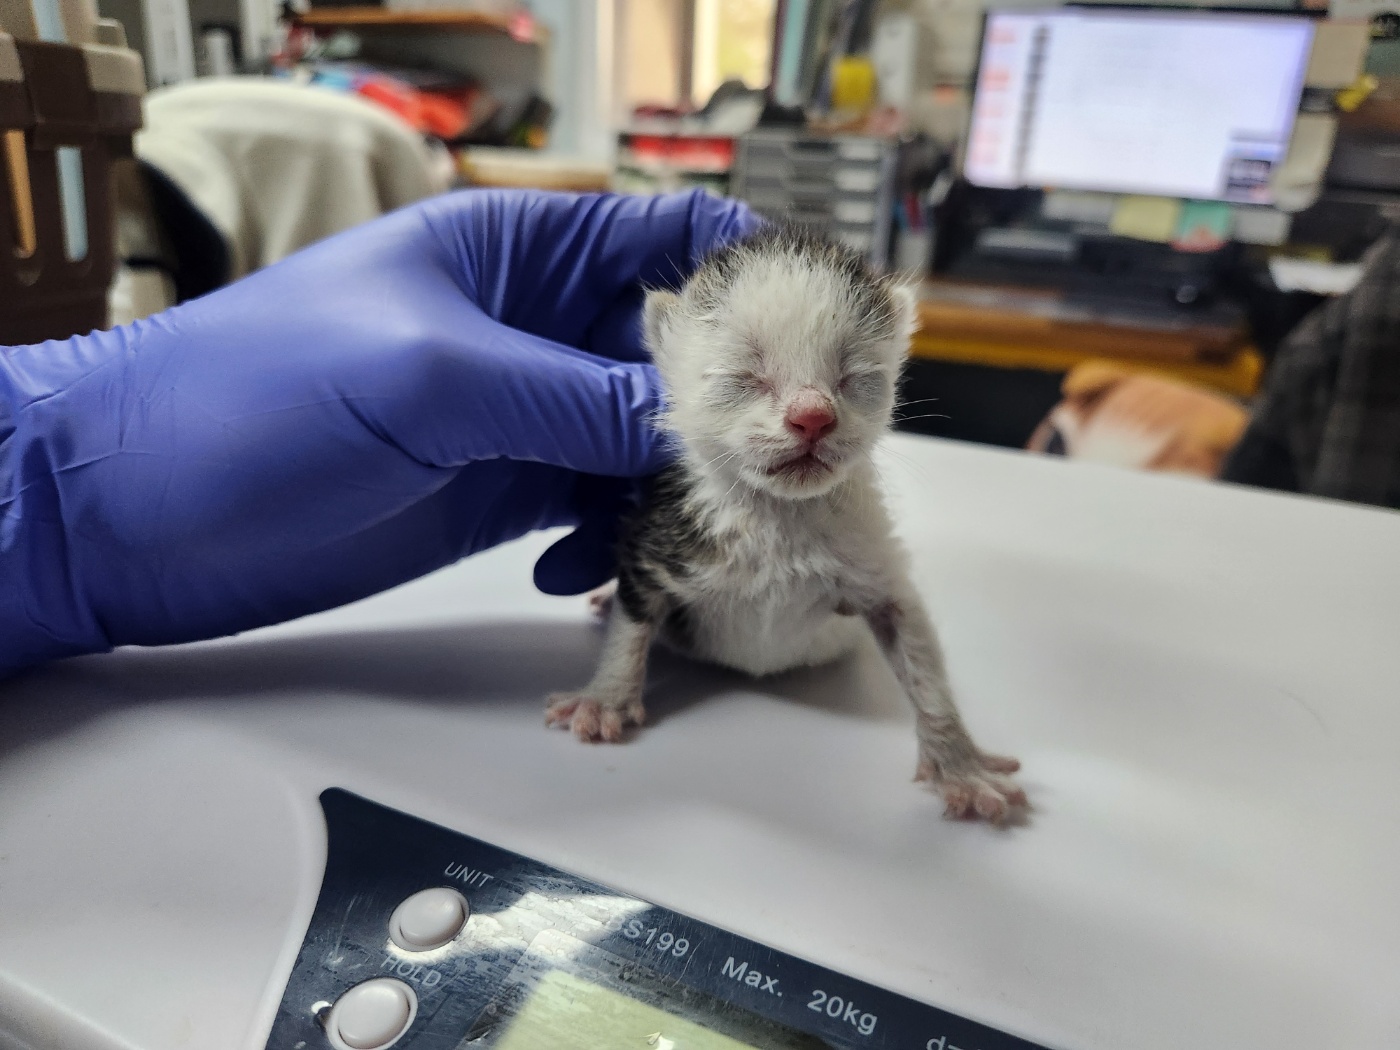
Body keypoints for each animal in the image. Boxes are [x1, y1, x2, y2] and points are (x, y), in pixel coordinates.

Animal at [548, 226, 1030, 828]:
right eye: (743, 376)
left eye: (854, 377)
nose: (812, 416)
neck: (779, 515)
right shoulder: (656, 537)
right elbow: (632, 622)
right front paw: (605, 697)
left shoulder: (873, 563)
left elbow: (918, 651)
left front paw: (958, 763)